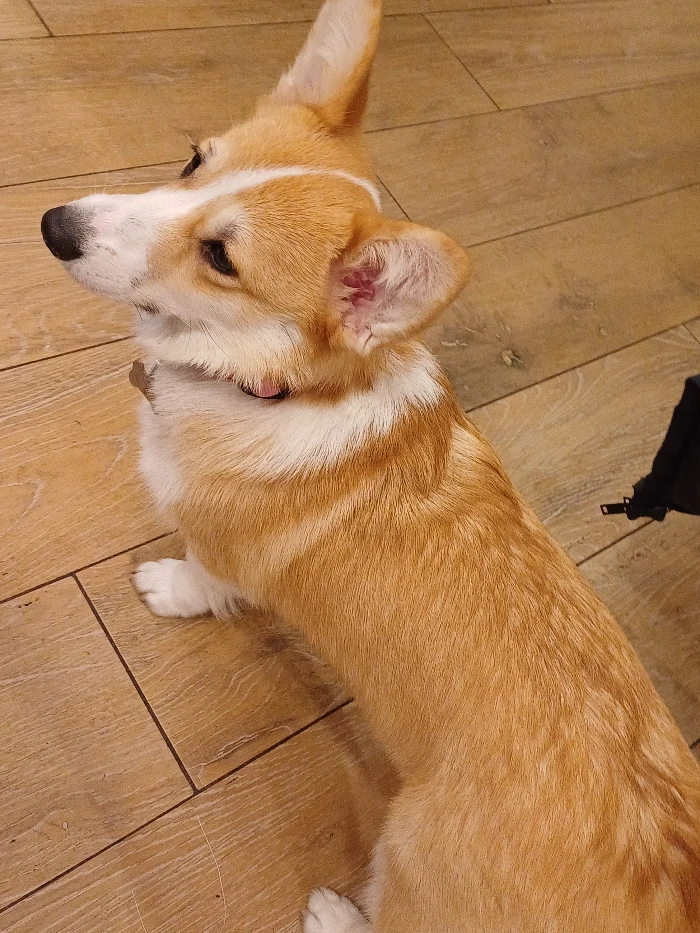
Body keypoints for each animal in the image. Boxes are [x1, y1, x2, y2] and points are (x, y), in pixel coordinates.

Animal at [41, 0, 700, 929]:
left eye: (221, 258)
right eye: (195, 159)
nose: (51, 226)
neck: (272, 386)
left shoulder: (224, 547)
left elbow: (204, 577)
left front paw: (166, 588)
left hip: (407, 847)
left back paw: (331, 912)